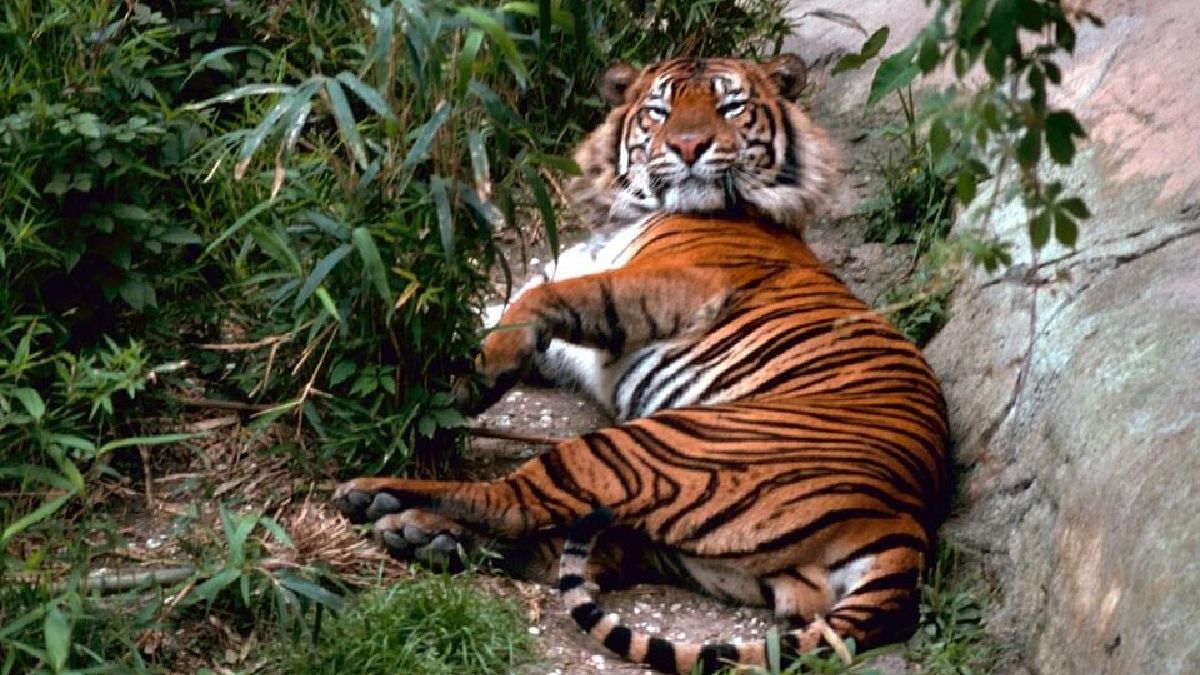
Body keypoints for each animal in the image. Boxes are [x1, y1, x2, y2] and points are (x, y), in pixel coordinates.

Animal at [333, 54, 951, 674]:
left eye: (731, 106)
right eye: (660, 110)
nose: (689, 146)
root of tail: (904, 526)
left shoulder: (677, 282)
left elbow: (538, 301)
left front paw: (471, 378)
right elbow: (497, 309)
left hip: (641, 448)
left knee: (513, 504)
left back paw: (380, 498)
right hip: (712, 556)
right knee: (573, 546)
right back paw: (426, 536)